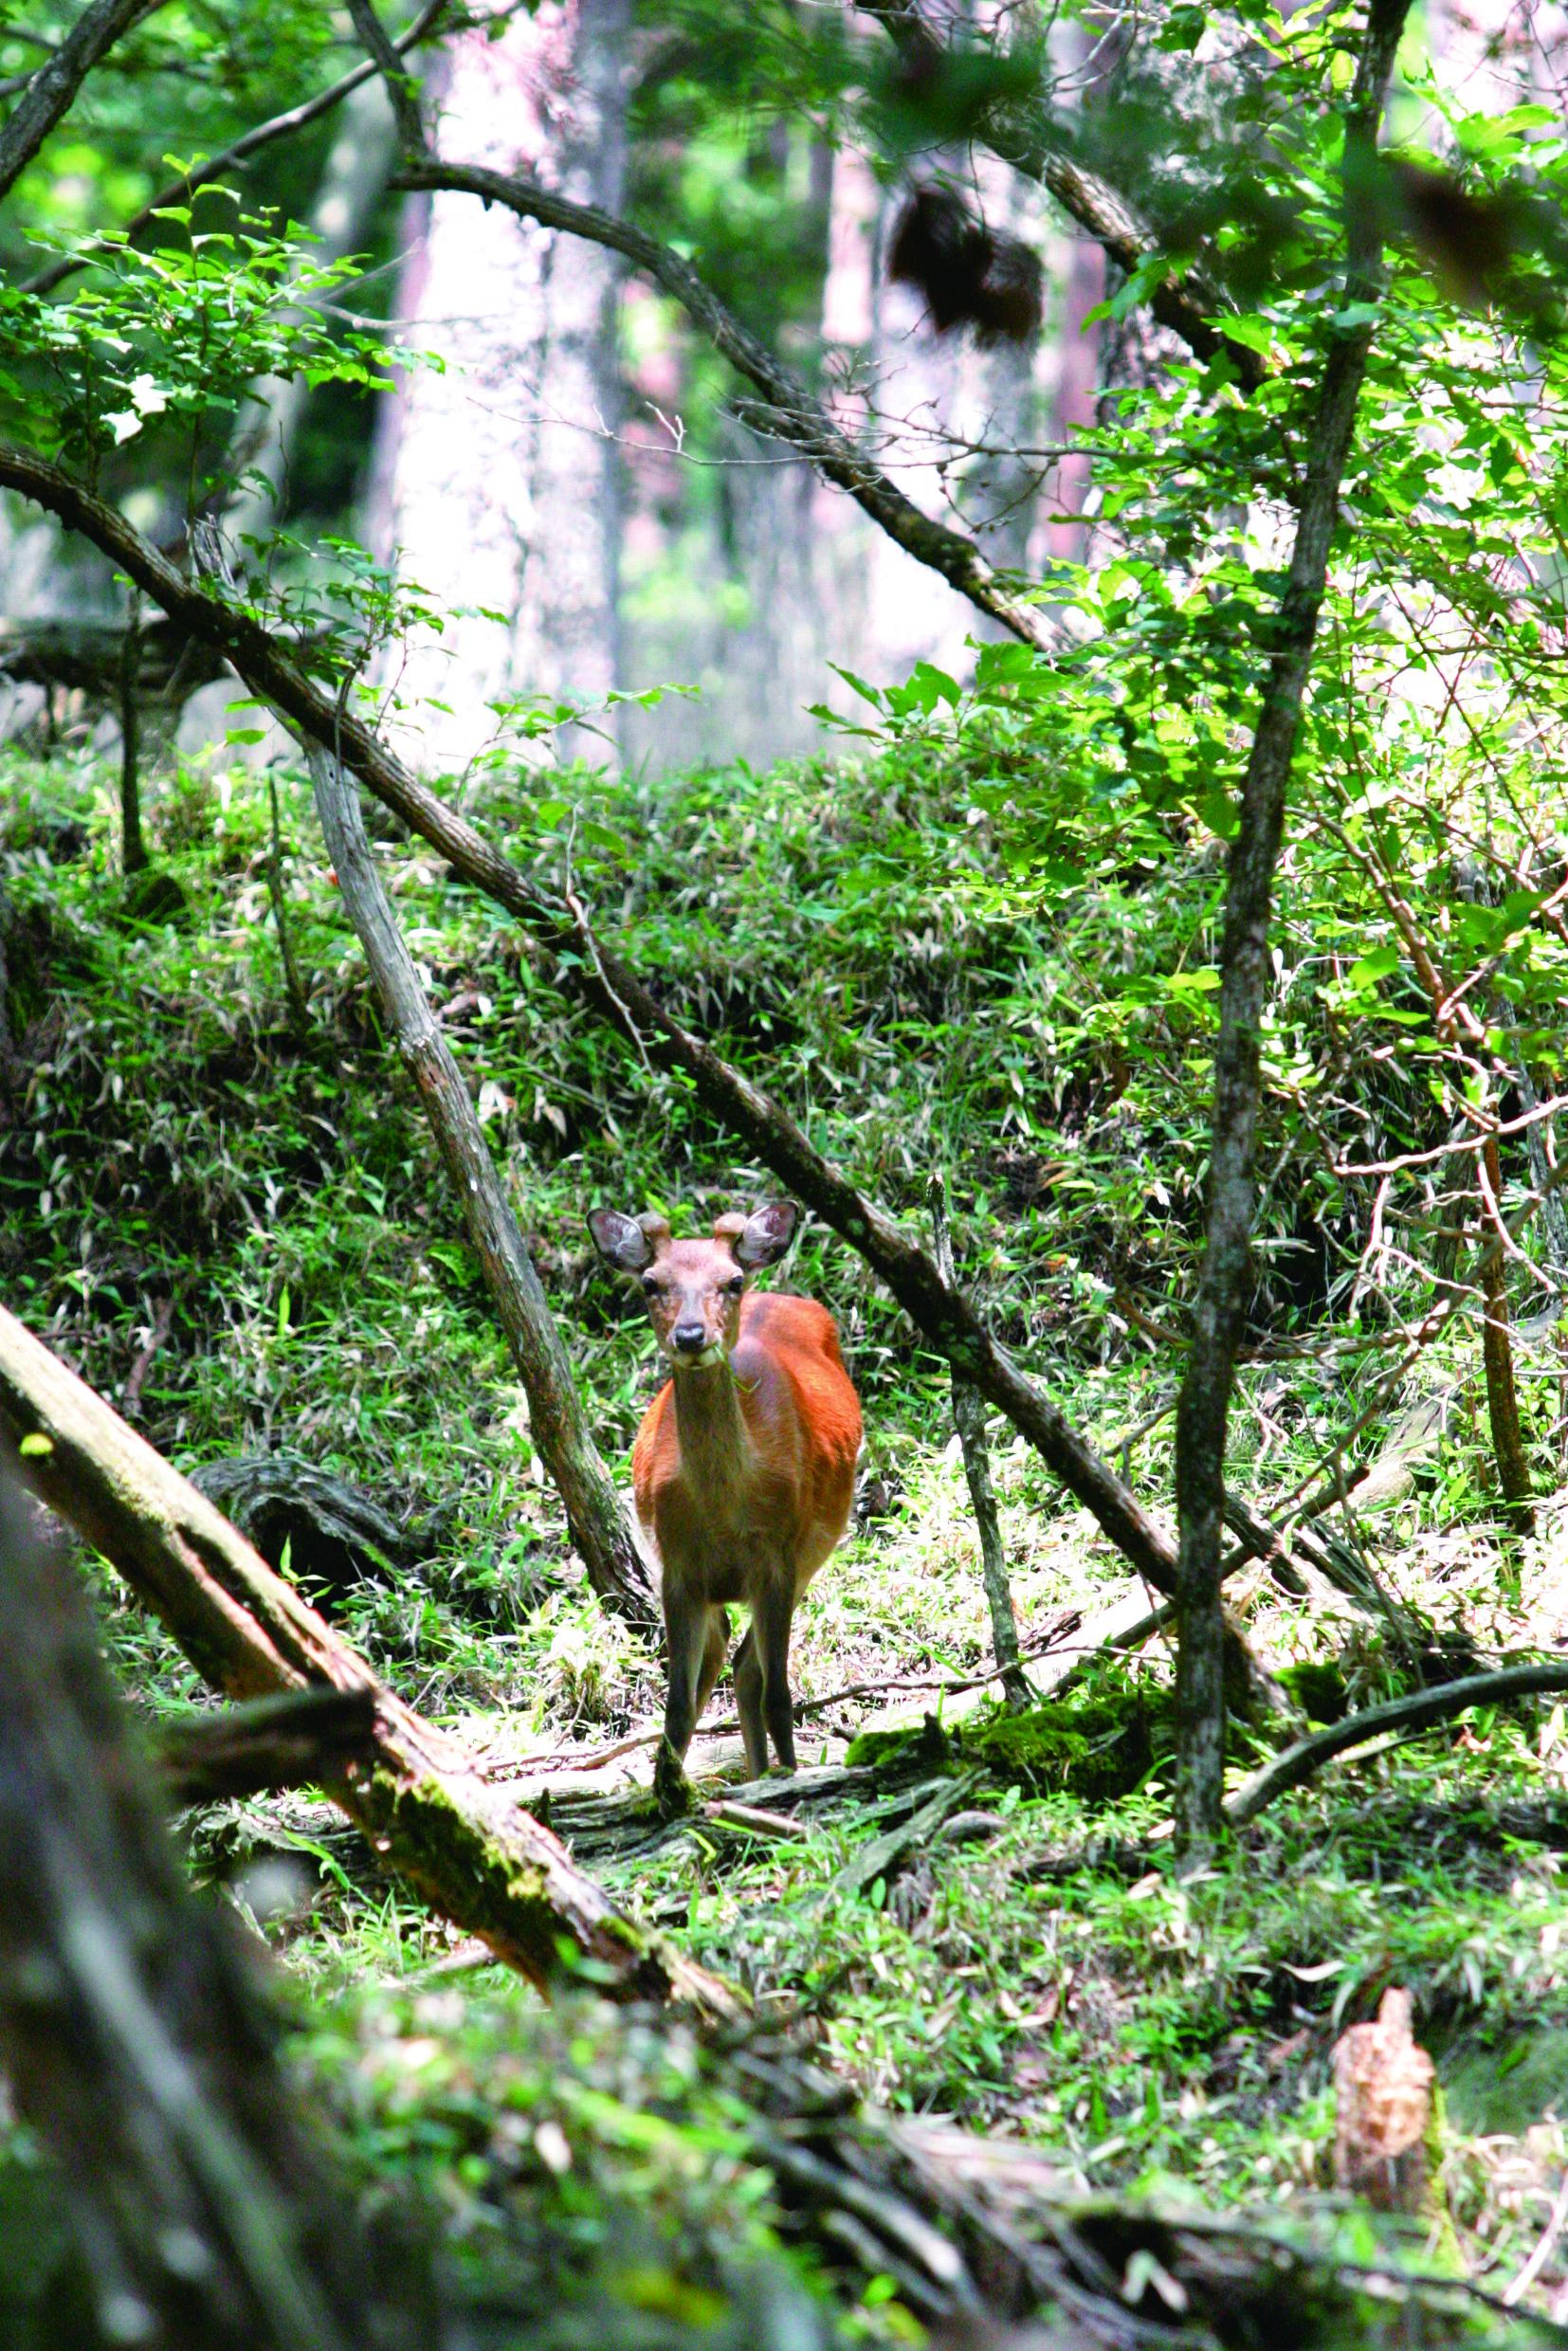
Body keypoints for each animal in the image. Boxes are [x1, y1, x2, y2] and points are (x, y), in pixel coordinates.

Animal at [587, 1203, 865, 1805]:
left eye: (732, 1281)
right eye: (650, 1283)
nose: (691, 1335)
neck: (722, 1510)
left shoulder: (778, 1559)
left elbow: (780, 1696)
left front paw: (789, 1783)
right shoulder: (677, 1570)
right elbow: (674, 1708)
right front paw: (666, 1794)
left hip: (810, 1556)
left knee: (750, 1671)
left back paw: (765, 1776)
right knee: (722, 1665)